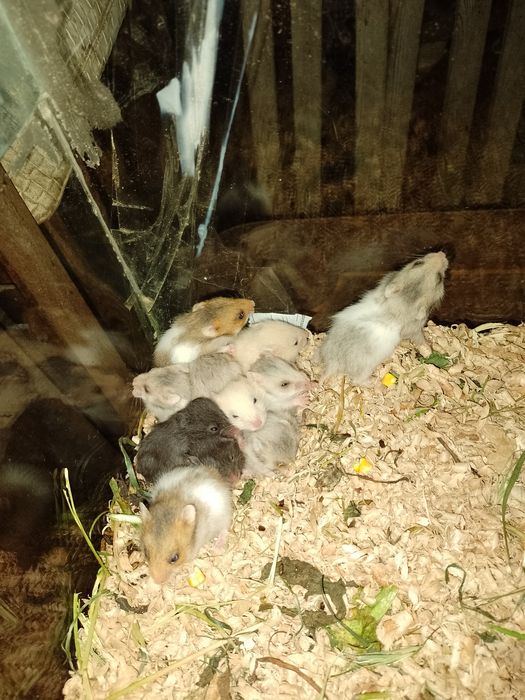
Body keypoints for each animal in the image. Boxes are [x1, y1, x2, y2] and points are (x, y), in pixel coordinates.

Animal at [320, 252, 448, 384]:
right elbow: (421, 339)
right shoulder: (415, 330)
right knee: (357, 381)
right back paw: (374, 382)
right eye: (418, 263)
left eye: (439, 278)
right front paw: (429, 346)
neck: (401, 302)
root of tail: (333, 363)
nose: (442, 253)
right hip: (365, 370)